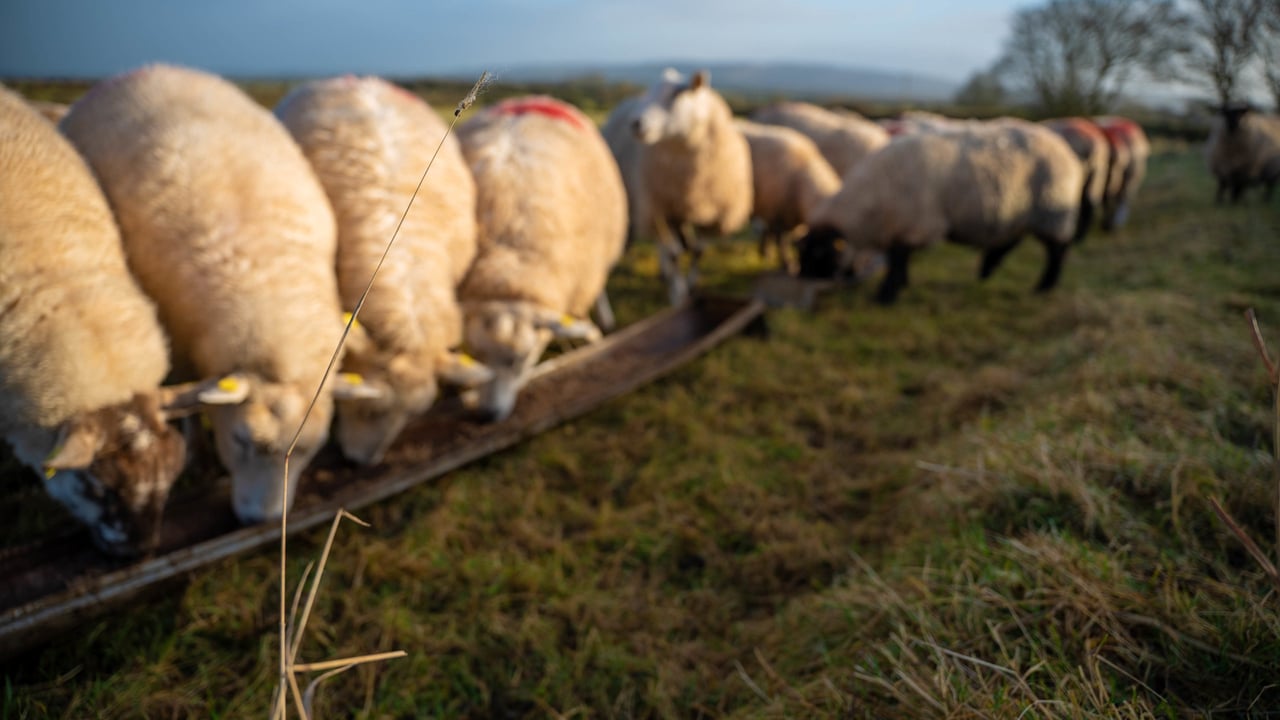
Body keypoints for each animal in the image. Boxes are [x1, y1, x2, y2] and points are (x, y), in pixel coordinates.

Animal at [61, 64, 346, 524]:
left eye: (309, 449)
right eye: (243, 440)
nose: (262, 521)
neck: (264, 273)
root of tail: (151, 66)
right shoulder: (175, 343)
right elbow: (187, 400)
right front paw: (197, 453)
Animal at [631, 68, 753, 305]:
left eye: (677, 95)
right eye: (650, 93)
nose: (636, 123)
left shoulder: (714, 214)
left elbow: (698, 251)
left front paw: (692, 286)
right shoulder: (663, 209)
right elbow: (674, 254)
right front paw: (678, 295)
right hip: (652, 206)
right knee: (663, 244)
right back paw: (666, 273)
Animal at [734, 118, 842, 272]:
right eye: (821, 251)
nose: (804, 273)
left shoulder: (777, 210)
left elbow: (770, 231)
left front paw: (764, 252)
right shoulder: (777, 211)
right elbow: (781, 240)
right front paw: (787, 264)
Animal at [796, 121, 1083, 305]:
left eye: (819, 252)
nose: (802, 280)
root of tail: (1064, 148)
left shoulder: (915, 224)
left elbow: (897, 259)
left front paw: (885, 296)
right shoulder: (903, 225)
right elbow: (900, 258)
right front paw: (900, 286)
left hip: (1052, 210)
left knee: (1057, 250)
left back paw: (1044, 286)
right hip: (1020, 211)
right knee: (1010, 241)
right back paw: (986, 270)